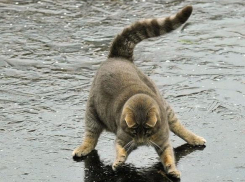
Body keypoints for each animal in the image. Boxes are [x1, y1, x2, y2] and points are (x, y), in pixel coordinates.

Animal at [72, 4, 206, 178]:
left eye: (147, 131)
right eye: (134, 131)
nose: (141, 142)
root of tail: (118, 56)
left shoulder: (163, 140)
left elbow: (168, 155)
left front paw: (172, 168)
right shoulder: (122, 138)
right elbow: (120, 148)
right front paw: (119, 159)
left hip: (165, 107)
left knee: (178, 125)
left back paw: (193, 138)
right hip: (92, 112)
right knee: (91, 135)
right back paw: (84, 147)